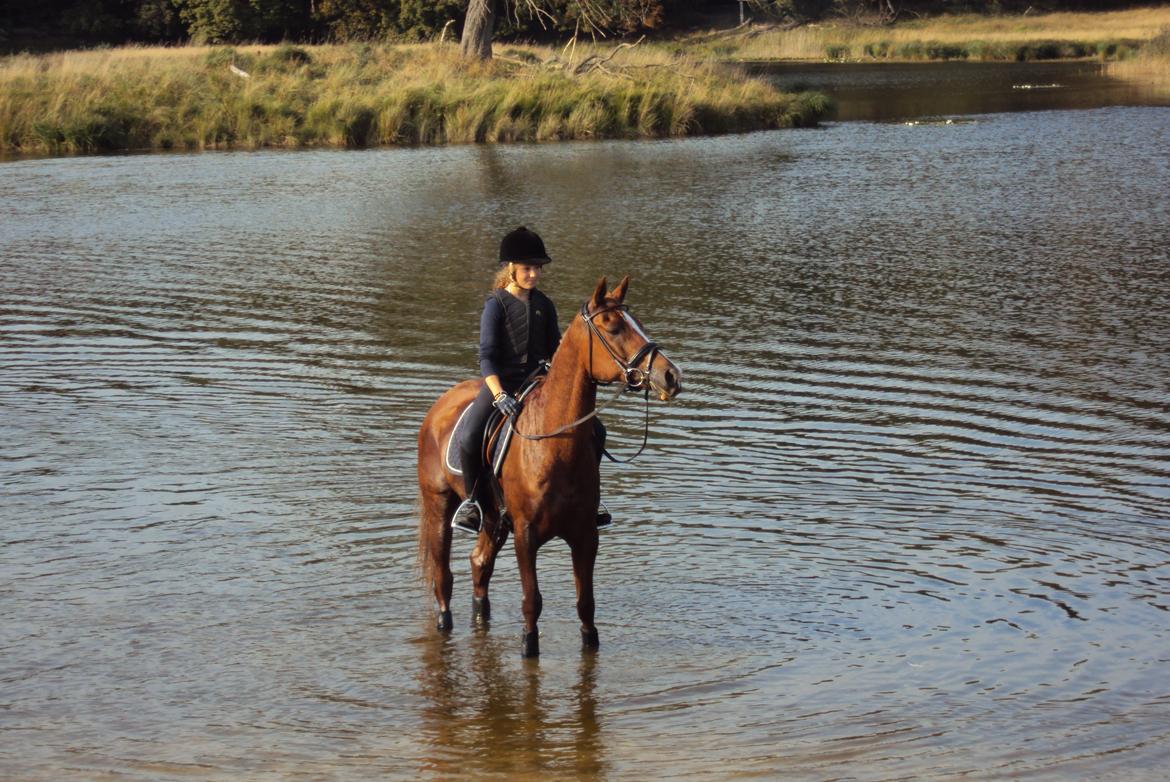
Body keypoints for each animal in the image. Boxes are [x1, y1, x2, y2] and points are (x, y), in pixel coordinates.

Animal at [416, 275, 683, 655]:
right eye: (613, 327)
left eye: (639, 324)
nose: (671, 376)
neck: (555, 444)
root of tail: (440, 405)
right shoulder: (526, 535)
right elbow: (532, 603)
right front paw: (528, 646)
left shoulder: (585, 534)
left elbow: (586, 605)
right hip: (440, 503)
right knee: (444, 573)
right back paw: (445, 622)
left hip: (494, 518)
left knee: (480, 564)